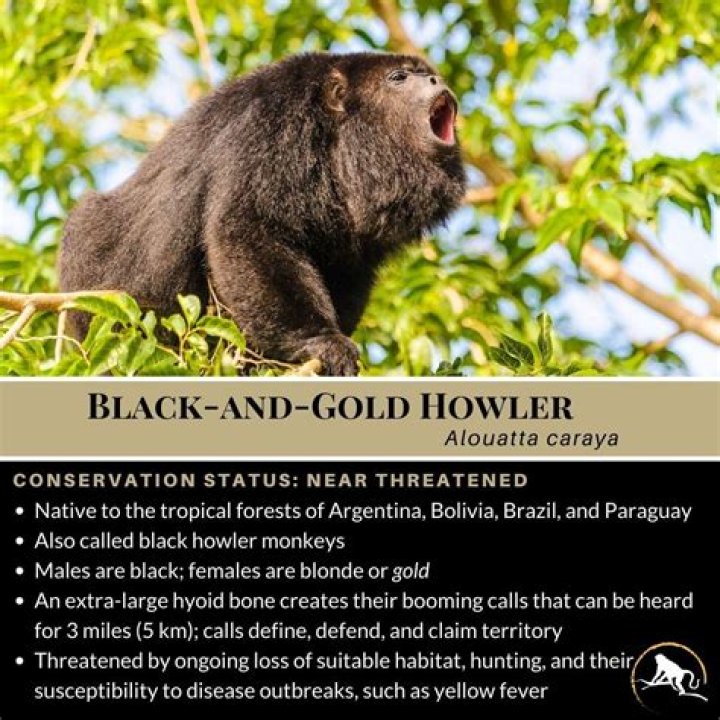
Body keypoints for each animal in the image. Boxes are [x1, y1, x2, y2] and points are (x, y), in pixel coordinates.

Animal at [59, 53, 466, 375]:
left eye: (427, 74)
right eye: (398, 77)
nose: (437, 80)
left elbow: (348, 268)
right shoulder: (272, 129)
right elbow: (249, 230)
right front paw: (320, 341)